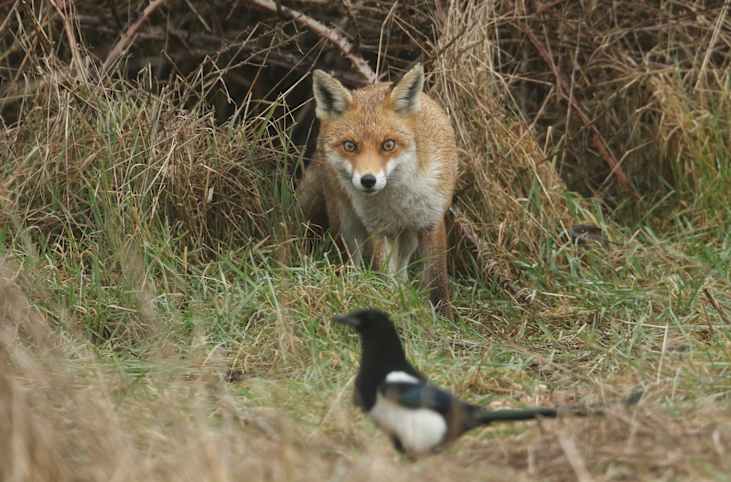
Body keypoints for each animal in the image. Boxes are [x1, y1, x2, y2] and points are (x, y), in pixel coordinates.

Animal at [296, 64, 458, 315]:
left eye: (388, 144)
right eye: (350, 145)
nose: (368, 180)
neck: (398, 198)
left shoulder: (430, 222)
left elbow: (437, 281)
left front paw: (443, 317)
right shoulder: (379, 229)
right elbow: (383, 272)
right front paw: (388, 301)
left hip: (408, 236)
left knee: (402, 265)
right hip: (346, 221)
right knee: (351, 257)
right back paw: (353, 286)